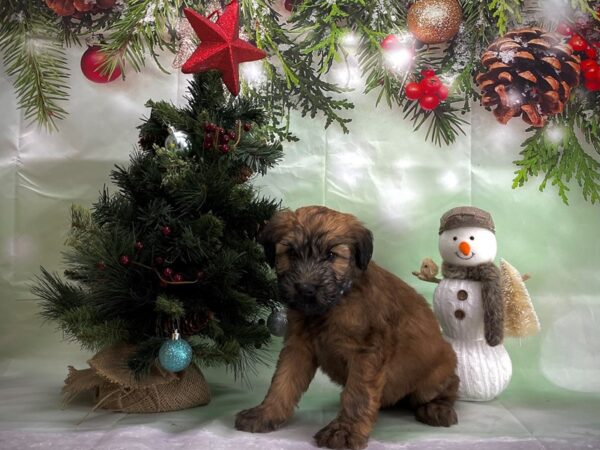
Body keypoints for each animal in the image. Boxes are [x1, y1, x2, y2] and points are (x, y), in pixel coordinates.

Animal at [236, 207, 460, 450]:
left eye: (331, 255)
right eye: (292, 253)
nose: (305, 289)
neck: (332, 306)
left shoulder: (366, 353)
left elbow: (357, 395)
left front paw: (344, 430)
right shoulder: (297, 347)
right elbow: (282, 383)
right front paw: (264, 413)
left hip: (433, 376)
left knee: (450, 386)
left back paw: (437, 408)